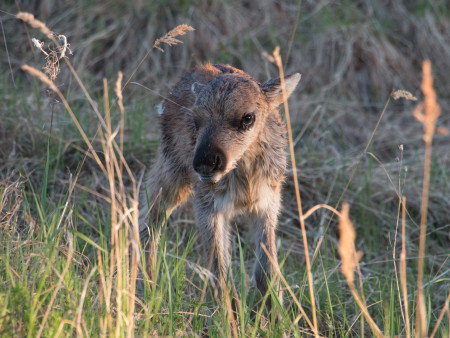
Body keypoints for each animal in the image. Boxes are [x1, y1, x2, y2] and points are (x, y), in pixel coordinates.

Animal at [140, 63, 302, 308]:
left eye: (248, 118)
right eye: (196, 120)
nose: (205, 162)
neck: (245, 180)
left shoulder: (268, 204)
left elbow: (266, 272)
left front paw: (277, 316)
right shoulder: (208, 207)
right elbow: (220, 274)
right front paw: (230, 317)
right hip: (172, 172)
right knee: (148, 219)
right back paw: (147, 290)